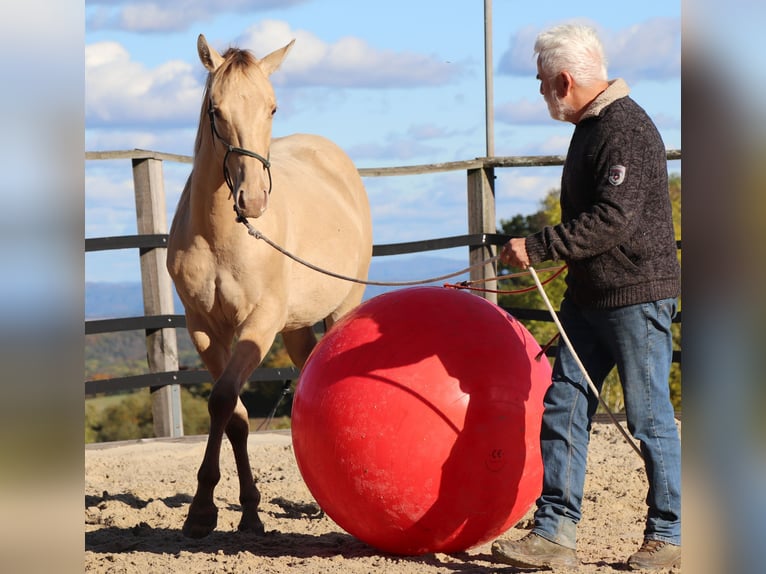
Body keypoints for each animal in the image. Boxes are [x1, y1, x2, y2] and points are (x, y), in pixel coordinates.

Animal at [167, 34, 373, 538]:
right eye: (215, 109)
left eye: (273, 107)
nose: (254, 199)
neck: (222, 235)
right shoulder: (203, 328)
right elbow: (235, 415)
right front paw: (240, 510)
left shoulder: (258, 324)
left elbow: (224, 399)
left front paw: (205, 510)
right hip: (296, 327)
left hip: (342, 306)